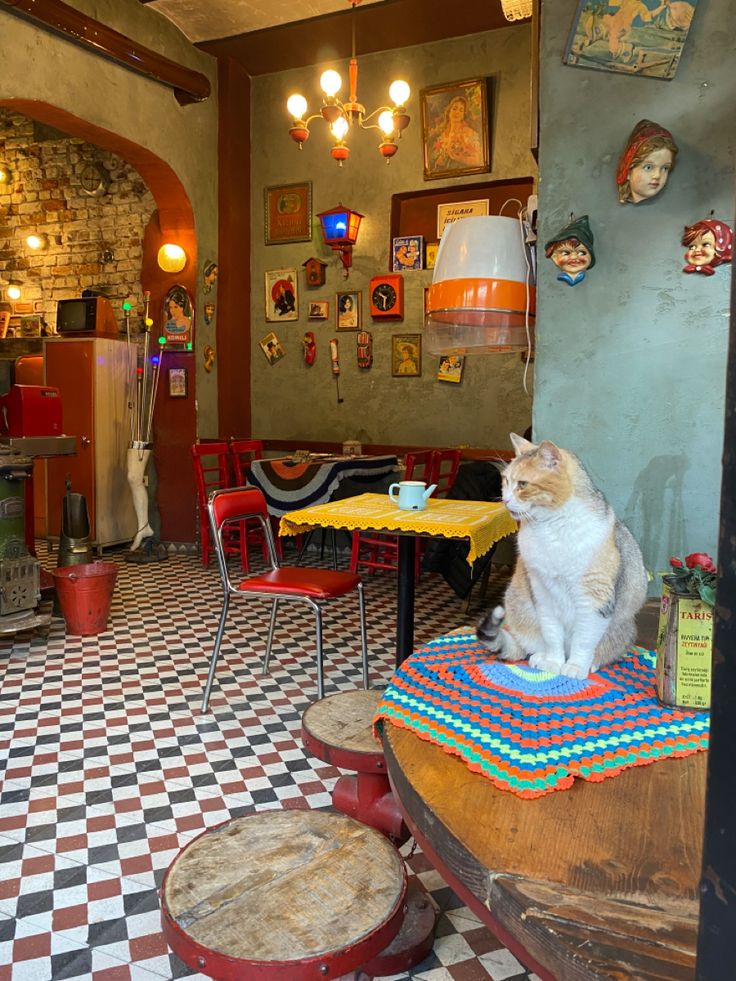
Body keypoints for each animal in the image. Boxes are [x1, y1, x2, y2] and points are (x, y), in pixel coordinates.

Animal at [478, 432, 644, 676]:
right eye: (505, 481)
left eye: (523, 484)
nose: (505, 500)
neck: (551, 527)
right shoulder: (543, 593)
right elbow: (552, 635)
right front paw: (553, 663)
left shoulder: (594, 598)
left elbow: (583, 641)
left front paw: (574, 667)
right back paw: (539, 656)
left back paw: (592, 664)